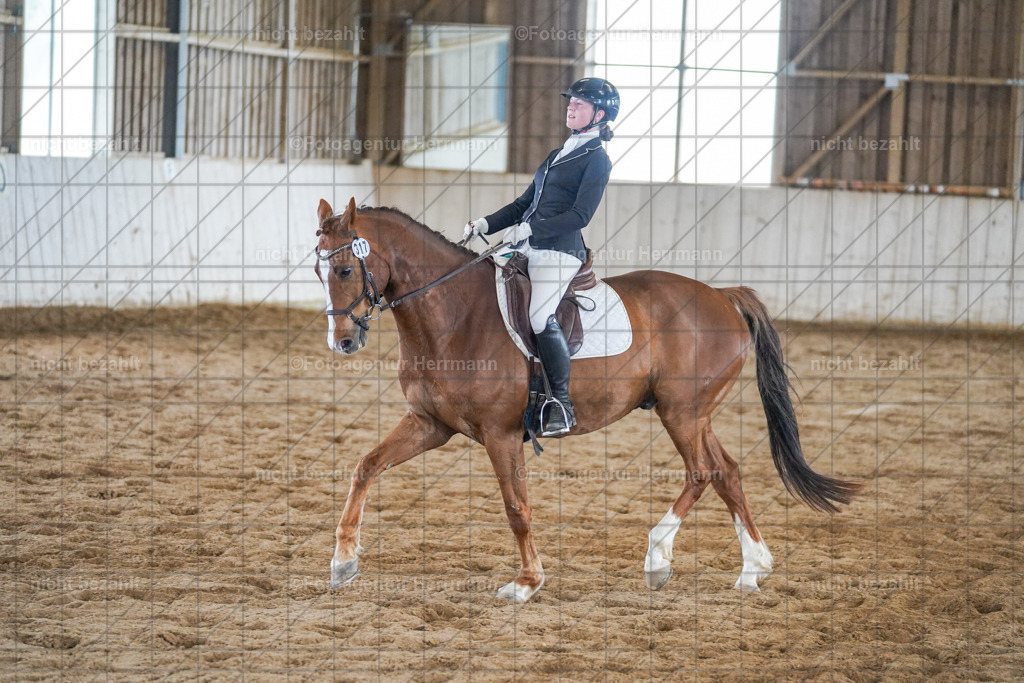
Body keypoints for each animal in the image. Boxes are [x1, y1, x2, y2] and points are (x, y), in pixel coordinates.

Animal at [314, 197, 860, 602]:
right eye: (322, 273)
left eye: (343, 270)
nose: (342, 342)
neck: (454, 314)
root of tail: (723, 296)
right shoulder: (432, 423)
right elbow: (365, 467)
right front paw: (343, 561)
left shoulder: (500, 434)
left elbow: (516, 507)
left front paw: (526, 582)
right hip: (695, 414)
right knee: (727, 471)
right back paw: (752, 568)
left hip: (681, 412)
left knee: (702, 472)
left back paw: (657, 558)